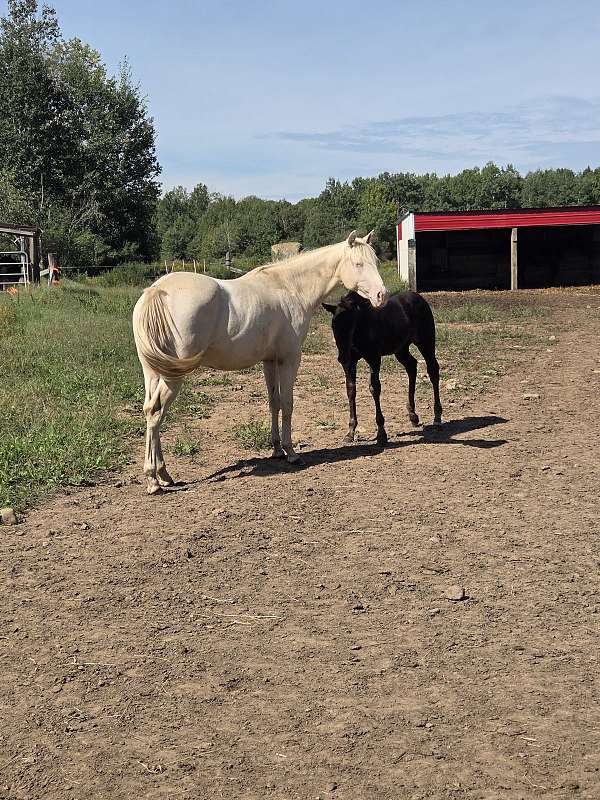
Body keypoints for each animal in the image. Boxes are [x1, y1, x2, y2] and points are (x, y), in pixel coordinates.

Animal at [133, 231, 388, 494]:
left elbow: (274, 402)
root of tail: (157, 291)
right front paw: (291, 452)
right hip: (173, 376)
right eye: (358, 264)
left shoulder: (269, 361)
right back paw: (153, 480)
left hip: (154, 373)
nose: (381, 296)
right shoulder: (289, 360)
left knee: (151, 411)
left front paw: (276, 449)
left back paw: (164, 474)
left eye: (375, 262)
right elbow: (287, 403)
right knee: (155, 412)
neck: (291, 288)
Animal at [322, 290, 443, 445]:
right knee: (411, 366)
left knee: (432, 370)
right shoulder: (350, 363)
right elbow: (351, 390)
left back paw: (437, 418)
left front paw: (381, 432)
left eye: (351, 325)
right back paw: (413, 415)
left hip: (425, 341)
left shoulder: (374, 358)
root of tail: (419, 297)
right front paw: (350, 432)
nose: (342, 357)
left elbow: (374, 388)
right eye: (333, 326)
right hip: (401, 349)